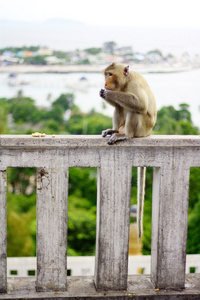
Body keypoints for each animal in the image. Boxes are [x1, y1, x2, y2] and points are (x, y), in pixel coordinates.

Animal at [99, 63, 157, 239]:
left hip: (142, 128)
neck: (124, 84)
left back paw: (126, 136)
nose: (105, 83)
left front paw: (108, 93)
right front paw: (104, 93)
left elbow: (139, 104)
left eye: (110, 74)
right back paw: (113, 131)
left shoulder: (134, 85)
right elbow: (118, 104)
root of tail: (149, 133)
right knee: (119, 106)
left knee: (134, 109)